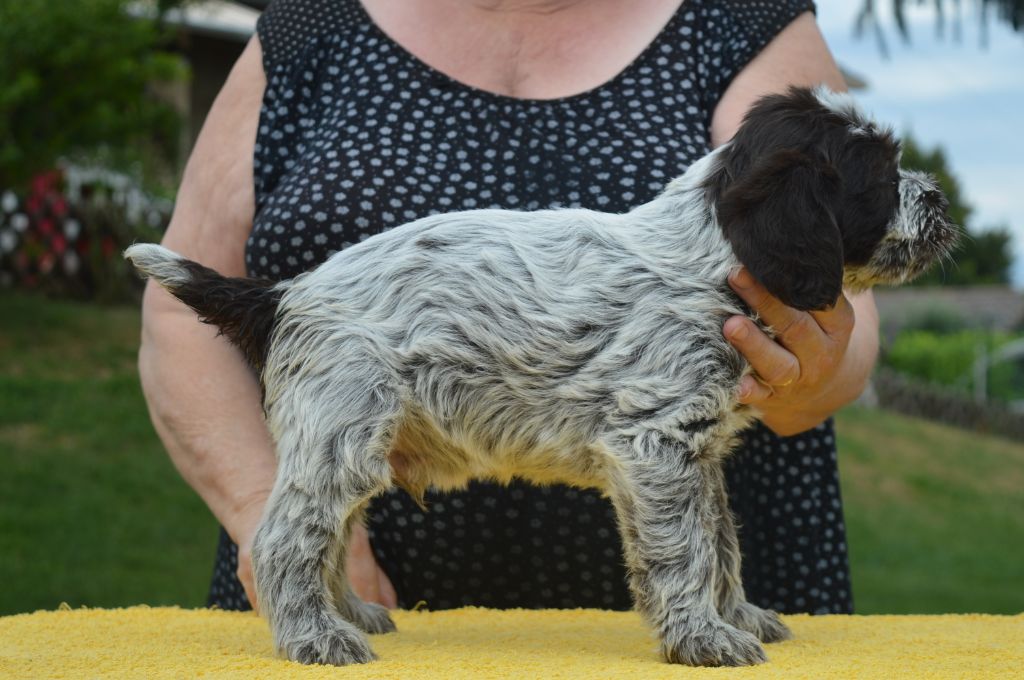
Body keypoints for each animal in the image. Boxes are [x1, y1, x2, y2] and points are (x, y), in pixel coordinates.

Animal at [125, 86, 958, 667]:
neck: (708, 258)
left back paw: (349, 614)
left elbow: (721, 543)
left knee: (328, 532)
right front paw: (703, 638)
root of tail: (286, 295)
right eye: (880, 174)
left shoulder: (699, 451)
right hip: (342, 426)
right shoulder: (657, 440)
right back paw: (313, 638)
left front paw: (735, 616)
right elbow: (686, 551)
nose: (941, 199)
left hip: (350, 435)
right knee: (284, 538)